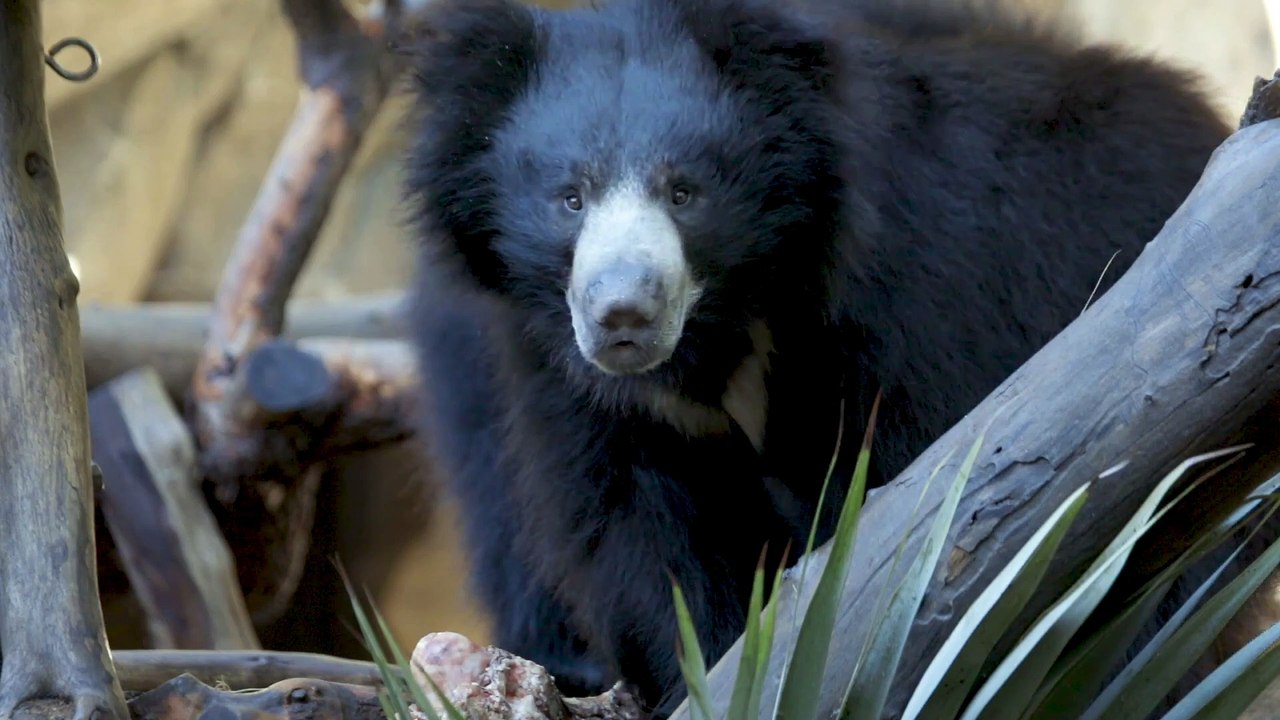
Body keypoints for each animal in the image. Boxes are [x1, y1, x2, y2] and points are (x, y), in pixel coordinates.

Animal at [397, 0, 1233, 714]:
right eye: (570, 197)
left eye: (684, 192)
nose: (622, 317)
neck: (727, 321)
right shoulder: (576, 380)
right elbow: (641, 535)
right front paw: (710, 674)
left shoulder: (920, 304)